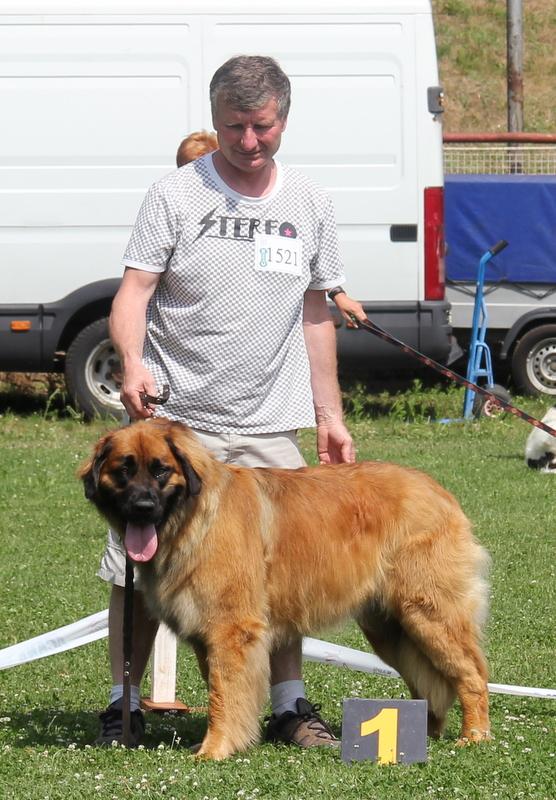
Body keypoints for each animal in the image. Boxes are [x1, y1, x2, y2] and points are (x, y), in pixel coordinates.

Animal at [80, 418, 491, 760]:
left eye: (161, 470)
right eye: (123, 471)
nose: (142, 506)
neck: (192, 518)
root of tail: (439, 491)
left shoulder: (231, 631)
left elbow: (223, 694)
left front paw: (215, 749)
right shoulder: (209, 635)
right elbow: (222, 691)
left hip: (427, 613)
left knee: (472, 675)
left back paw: (473, 735)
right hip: (390, 629)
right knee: (428, 683)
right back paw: (417, 733)